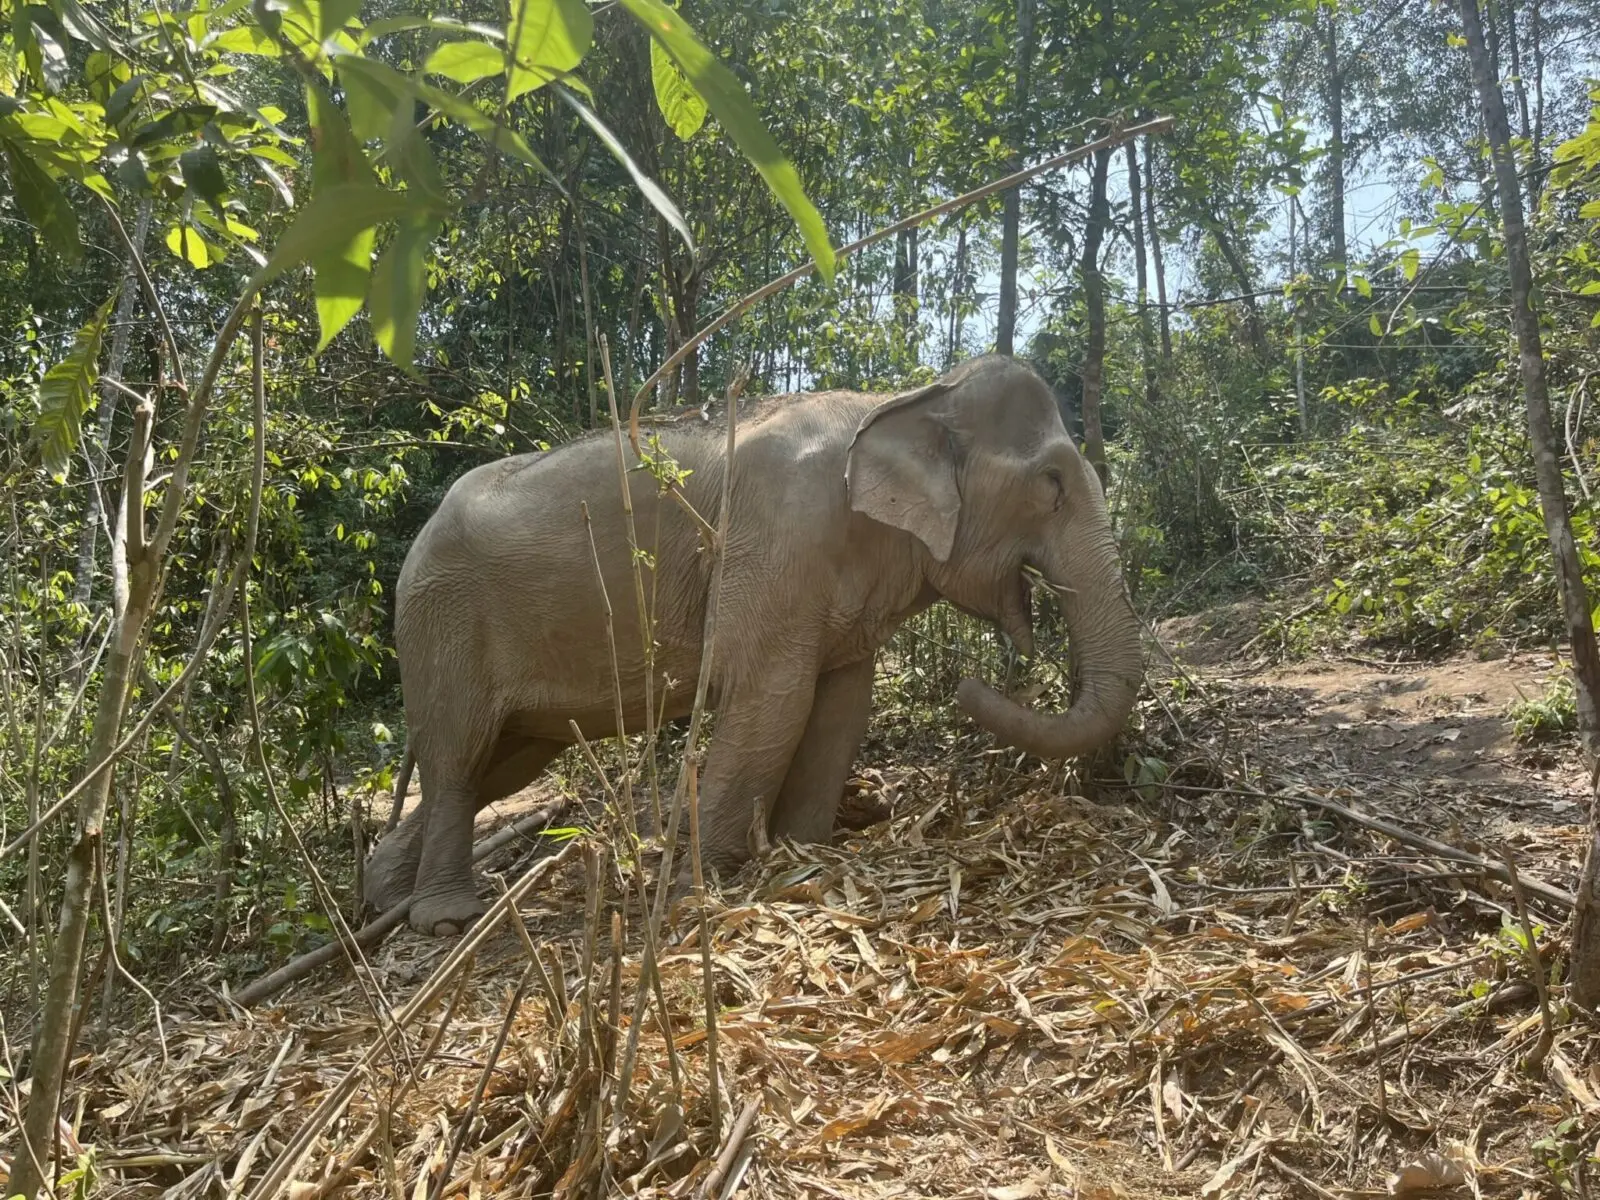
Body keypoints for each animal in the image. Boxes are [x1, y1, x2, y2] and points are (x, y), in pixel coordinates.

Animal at [366, 354, 1144, 935]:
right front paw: (696, 887)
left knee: (496, 765)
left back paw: (385, 898)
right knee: (458, 754)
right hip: (441, 624)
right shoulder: (774, 538)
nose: (971, 687)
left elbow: (840, 706)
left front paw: (804, 850)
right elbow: (772, 699)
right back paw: (444, 919)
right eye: (1051, 484)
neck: (905, 397)